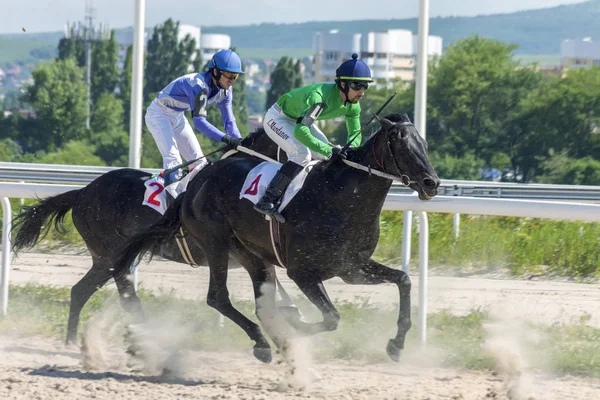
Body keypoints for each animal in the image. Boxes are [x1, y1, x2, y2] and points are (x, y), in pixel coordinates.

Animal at [11, 128, 288, 344]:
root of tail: (82, 193)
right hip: (107, 256)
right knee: (81, 291)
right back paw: (72, 341)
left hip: (117, 260)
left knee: (125, 298)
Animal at [112, 114, 440, 364]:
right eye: (402, 144)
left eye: (424, 144)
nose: (432, 183)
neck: (340, 197)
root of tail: (196, 182)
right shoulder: (302, 272)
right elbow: (331, 318)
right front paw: (293, 327)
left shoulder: (351, 268)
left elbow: (403, 280)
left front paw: (397, 344)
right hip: (215, 242)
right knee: (218, 297)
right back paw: (262, 342)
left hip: (250, 254)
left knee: (256, 300)